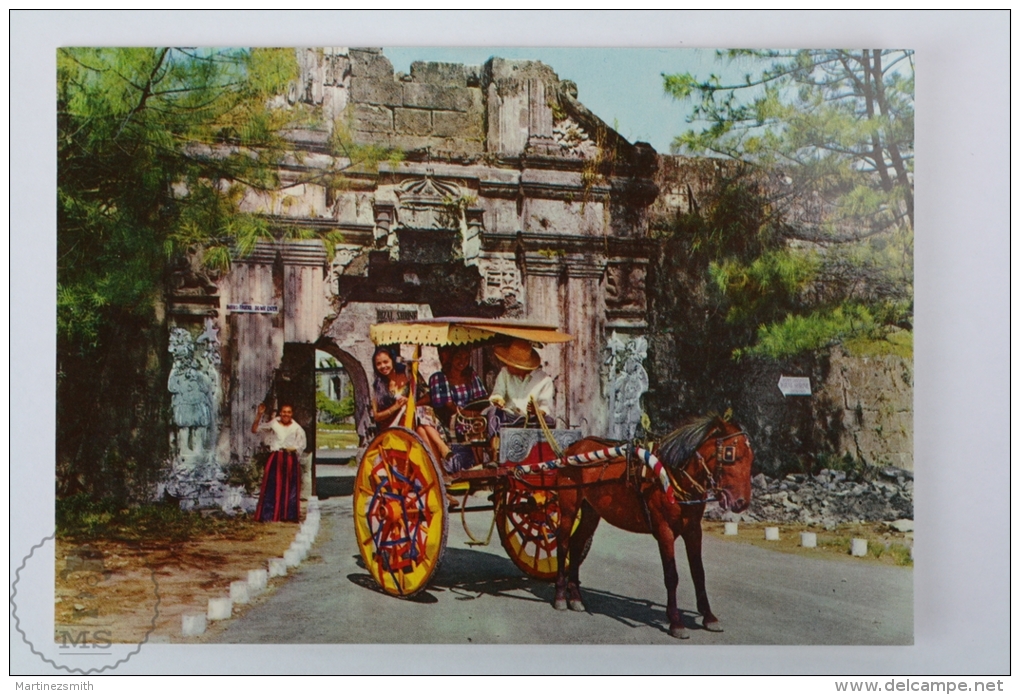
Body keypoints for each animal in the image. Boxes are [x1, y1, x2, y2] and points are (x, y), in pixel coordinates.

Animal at [554, 414, 754, 636]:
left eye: (751, 456)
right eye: (729, 454)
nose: (741, 502)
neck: (671, 478)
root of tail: (572, 449)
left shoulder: (693, 530)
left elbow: (698, 573)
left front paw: (708, 616)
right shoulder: (664, 531)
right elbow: (671, 576)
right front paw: (676, 621)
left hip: (591, 511)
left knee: (576, 544)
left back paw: (575, 597)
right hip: (569, 507)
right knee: (563, 544)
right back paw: (561, 596)